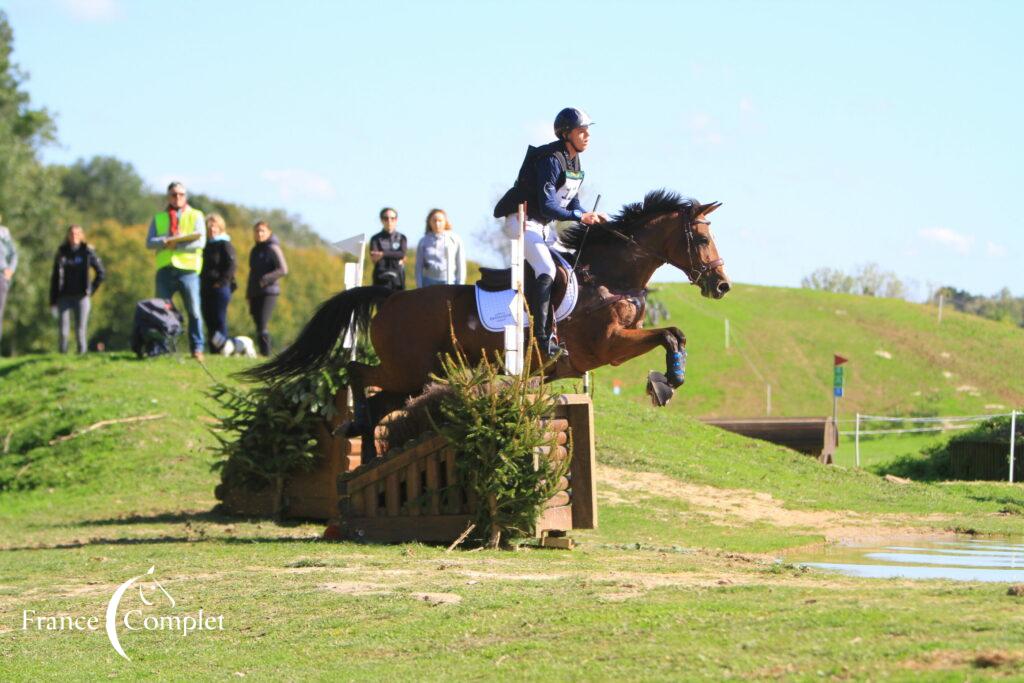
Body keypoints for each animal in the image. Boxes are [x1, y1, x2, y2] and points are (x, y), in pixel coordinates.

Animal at [244, 189, 733, 428]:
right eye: (702, 238)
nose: (723, 285)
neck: (610, 277)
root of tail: (392, 296)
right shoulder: (608, 345)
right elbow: (668, 334)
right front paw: (667, 381)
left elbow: (676, 334)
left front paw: (667, 380)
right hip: (405, 368)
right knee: (356, 372)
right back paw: (357, 419)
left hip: (414, 376)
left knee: (382, 395)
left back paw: (361, 431)